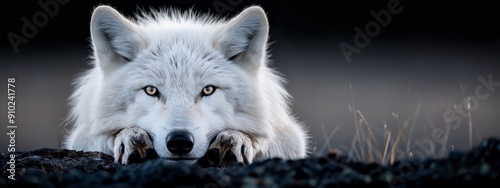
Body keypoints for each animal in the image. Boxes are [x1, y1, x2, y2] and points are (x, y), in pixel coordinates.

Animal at [63, 4, 308, 166]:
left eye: (208, 90)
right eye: (151, 90)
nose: (180, 142)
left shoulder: (291, 137)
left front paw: (235, 139)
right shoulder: (81, 137)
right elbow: (103, 137)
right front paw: (130, 137)